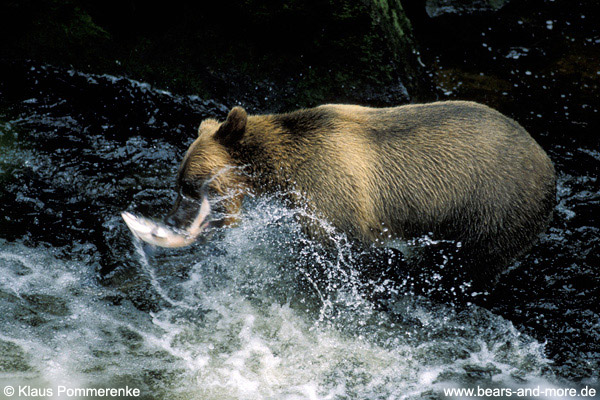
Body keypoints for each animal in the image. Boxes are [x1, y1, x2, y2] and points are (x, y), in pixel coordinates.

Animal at [139, 101, 552, 282]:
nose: (171, 220)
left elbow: (345, 251)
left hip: (493, 210)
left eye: (188, 186)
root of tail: (547, 163)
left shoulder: (333, 194)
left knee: (469, 265)